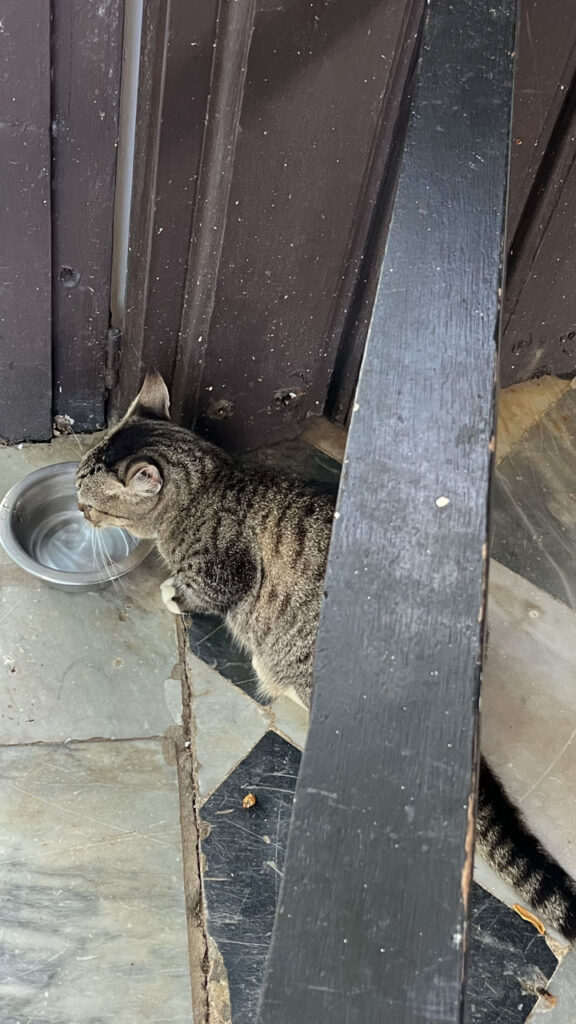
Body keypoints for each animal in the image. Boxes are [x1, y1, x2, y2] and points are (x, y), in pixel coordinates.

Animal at [73, 370, 573, 942]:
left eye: (93, 504)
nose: (77, 508)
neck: (210, 485)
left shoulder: (223, 576)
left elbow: (195, 593)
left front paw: (170, 592)